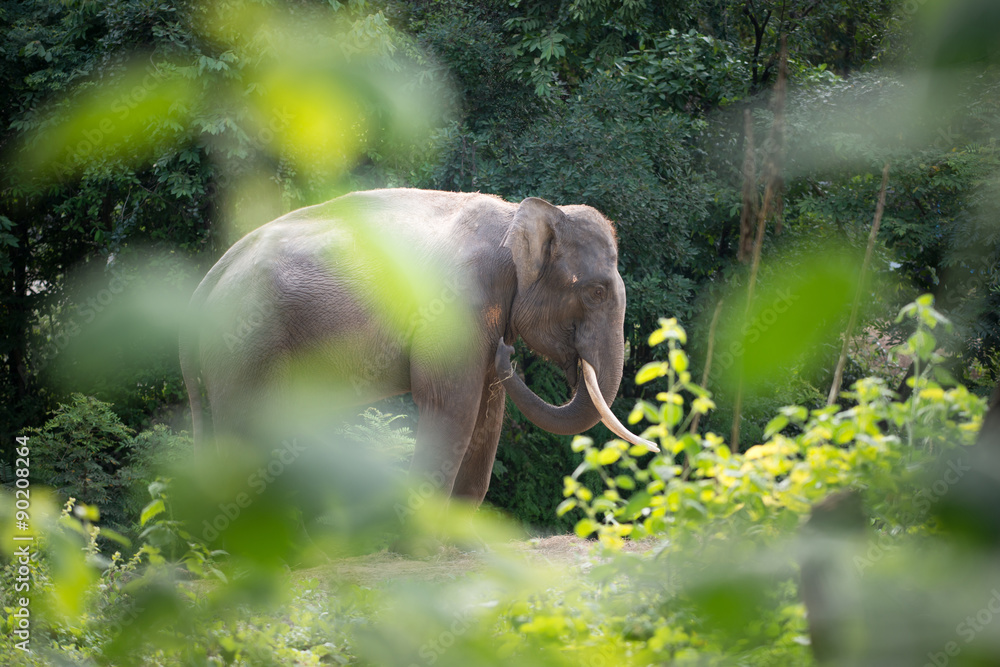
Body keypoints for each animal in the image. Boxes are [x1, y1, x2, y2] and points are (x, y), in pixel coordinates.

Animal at [180, 188, 656, 506]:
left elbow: (488, 413)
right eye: (595, 292)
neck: (514, 218)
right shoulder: (453, 306)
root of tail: (212, 275)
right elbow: (451, 407)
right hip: (244, 341)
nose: (509, 353)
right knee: (245, 429)